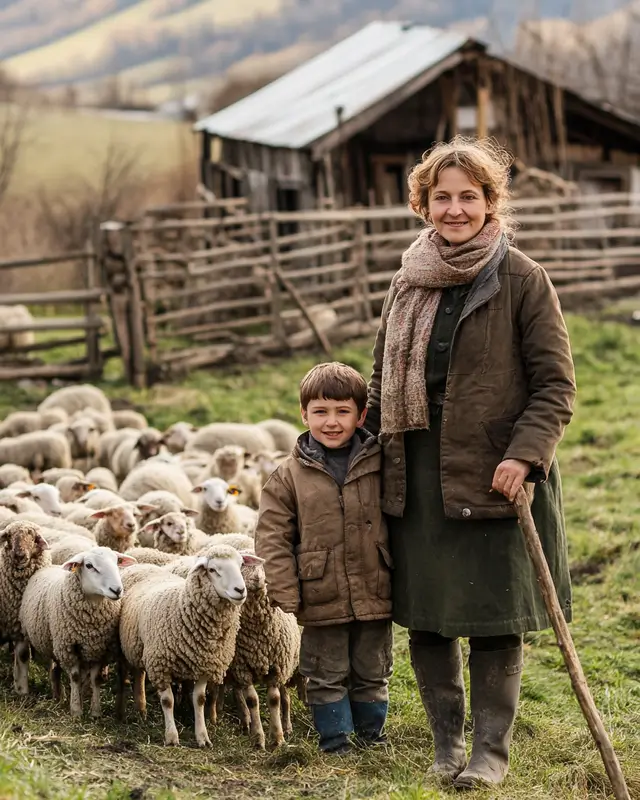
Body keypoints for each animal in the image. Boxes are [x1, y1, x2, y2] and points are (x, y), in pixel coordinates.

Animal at [19, 548, 136, 716]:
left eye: (116, 562)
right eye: (89, 565)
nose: (117, 590)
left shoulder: (98, 649)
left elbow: (95, 679)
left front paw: (95, 711)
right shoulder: (68, 648)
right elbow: (74, 677)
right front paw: (76, 710)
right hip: (36, 637)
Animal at [119, 540, 254, 748]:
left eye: (240, 565)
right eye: (212, 569)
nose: (240, 590)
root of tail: (143, 565)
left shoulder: (205, 665)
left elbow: (199, 699)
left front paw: (203, 737)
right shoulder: (160, 664)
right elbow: (167, 701)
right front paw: (172, 737)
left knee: (140, 673)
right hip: (132, 647)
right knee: (135, 674)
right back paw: (136, 709)